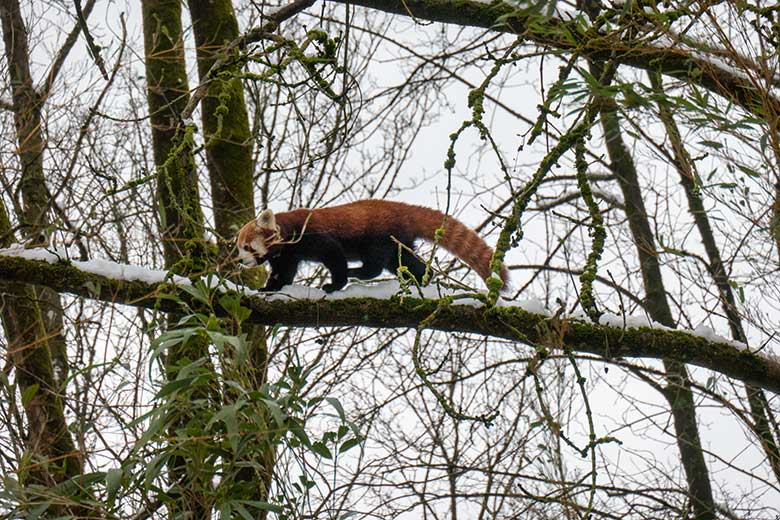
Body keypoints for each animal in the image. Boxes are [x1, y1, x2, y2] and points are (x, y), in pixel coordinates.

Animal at [235, 199, 508, 292]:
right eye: (237, 248)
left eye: (247, 247)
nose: (239, 261)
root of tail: (403, 209)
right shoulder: (287, 254)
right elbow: (284, 272)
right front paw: (269, 288)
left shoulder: (313, 236)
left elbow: (334, 256)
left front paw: (335, 284)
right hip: (399, 242)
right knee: (405, 261)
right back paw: (421, 278)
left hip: (378, 236)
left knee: (376, 263)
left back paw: (358, 272)